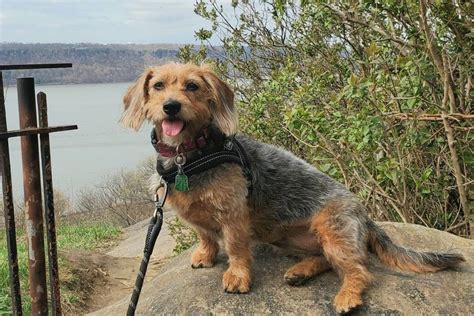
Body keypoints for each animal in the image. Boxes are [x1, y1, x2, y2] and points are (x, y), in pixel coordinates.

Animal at [120, 63, 464, 314]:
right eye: (158, 86)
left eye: (192, 85)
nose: (171, 106)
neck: (188, 156)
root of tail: (363, 215)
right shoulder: (195, 215)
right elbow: (205, 235)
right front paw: (205, 255)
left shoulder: (234, 216)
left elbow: (235, 246)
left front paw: (237, 276)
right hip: (287, 237)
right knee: (325, 258)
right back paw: (301, 271)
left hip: (333, 231)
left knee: (359, 269)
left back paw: (347, 296)